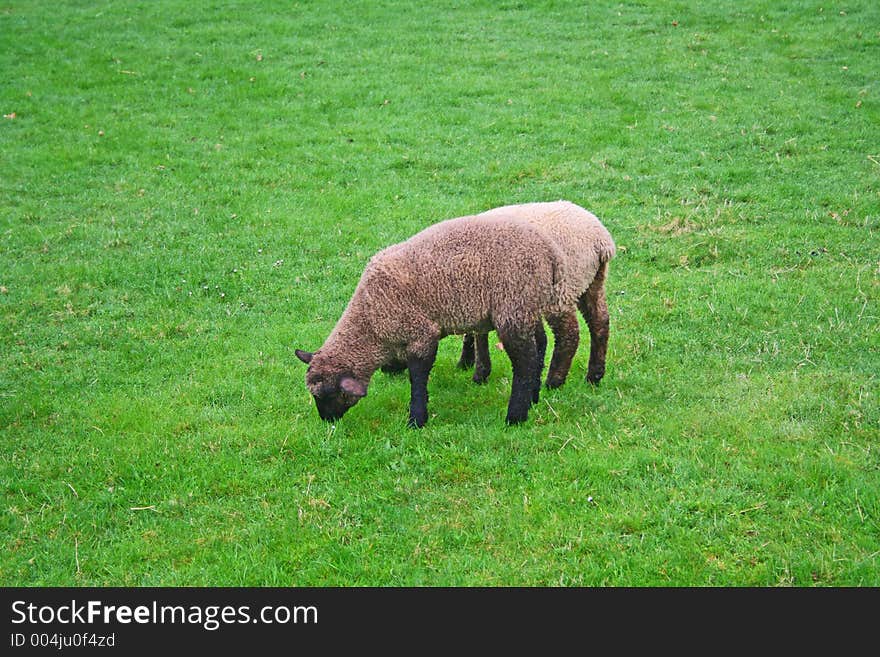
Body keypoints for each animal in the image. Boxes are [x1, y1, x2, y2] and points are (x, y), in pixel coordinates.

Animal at [296, 200, 612, 426]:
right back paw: (585, 379)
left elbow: (419, 377)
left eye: (325, 395)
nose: (327, 422)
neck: (371, 320)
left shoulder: (421, 333)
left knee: (536, 354)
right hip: (567, 292)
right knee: (594, 324)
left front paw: (416, 419)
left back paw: (522, 410)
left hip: (526, 302)